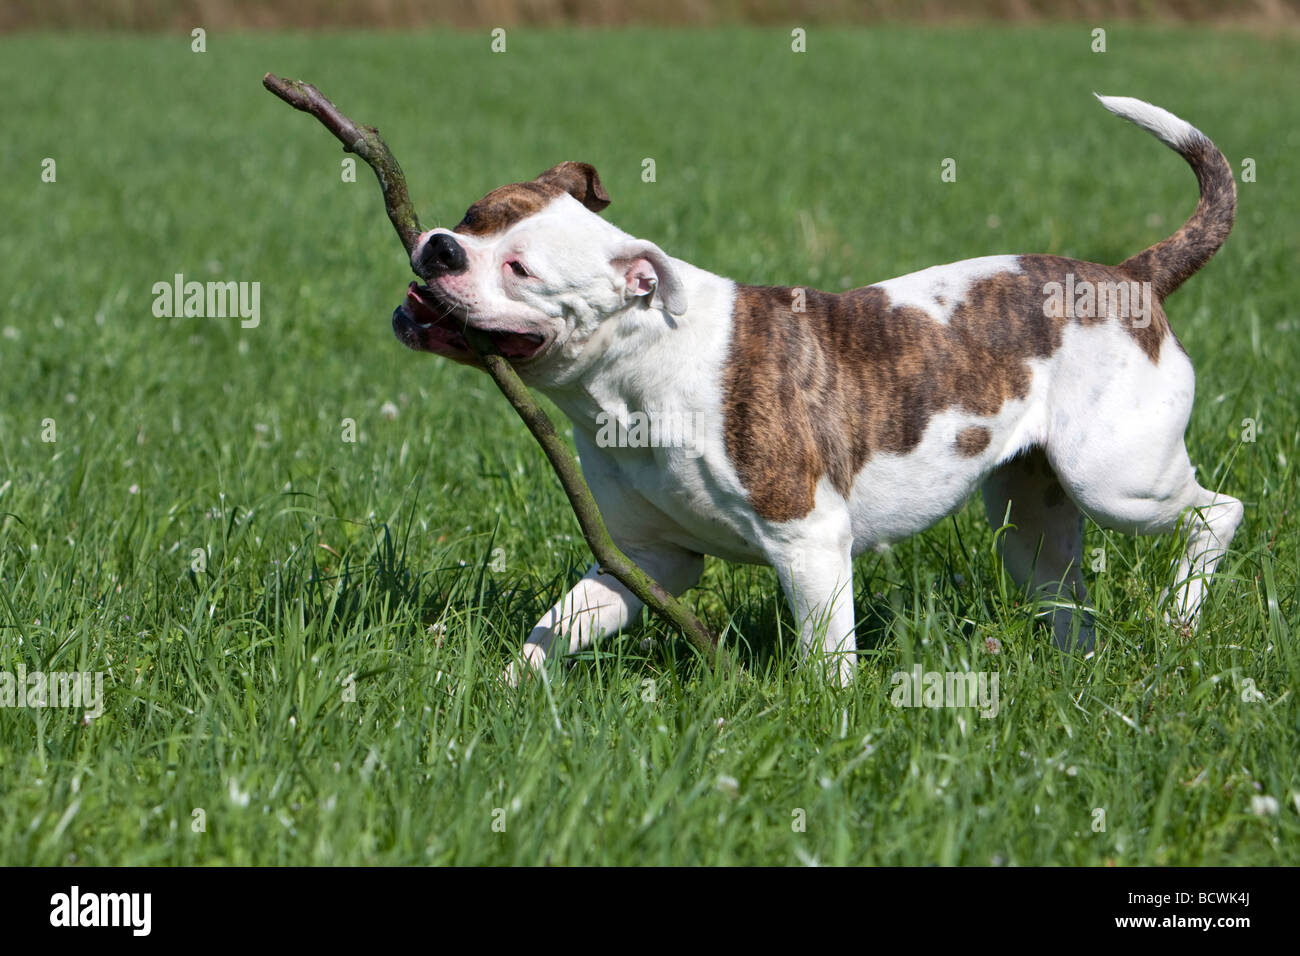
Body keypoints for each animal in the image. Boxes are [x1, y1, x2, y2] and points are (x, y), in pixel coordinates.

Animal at [392, 93, 1237, 686]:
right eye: (473, 215)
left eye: (521, 270)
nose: (441, 248)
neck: (635, 370)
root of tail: (1129, 278)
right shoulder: (649, 560)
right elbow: (556, 625)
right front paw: (505, 689)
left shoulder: (809, 542)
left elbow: (827, 657)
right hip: (1032, 518)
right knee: (1068, 595)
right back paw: (1079, 672)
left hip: (1117, 480)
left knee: (1216, 512)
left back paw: (1181, 612)